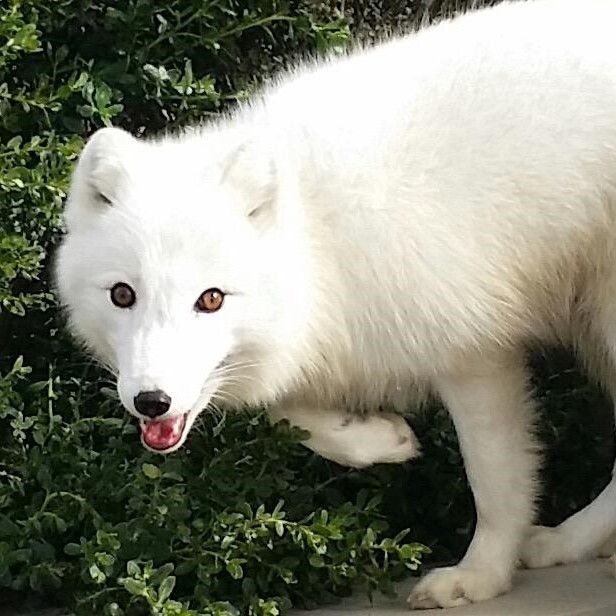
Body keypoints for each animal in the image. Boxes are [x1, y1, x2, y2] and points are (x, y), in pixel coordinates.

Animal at [56, 0, 616, 608]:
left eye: (210, 299)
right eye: (123, 295)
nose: (151, 402)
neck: (320, 232)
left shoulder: (474, 352)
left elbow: (495, 481)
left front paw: (481, 576)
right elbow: (288, 410)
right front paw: (380, 438)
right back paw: (568, 541)